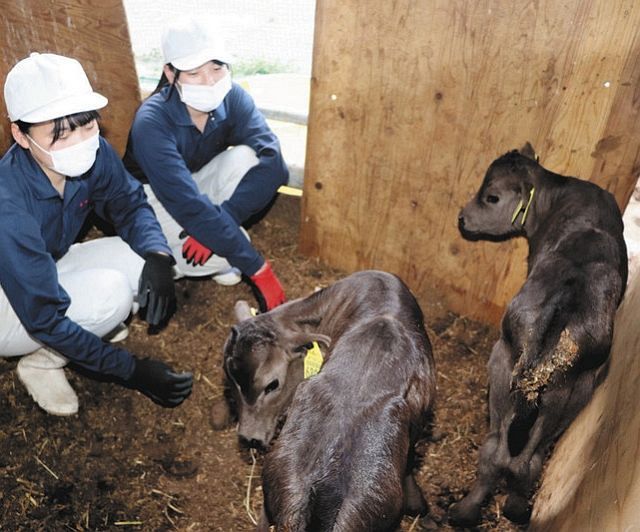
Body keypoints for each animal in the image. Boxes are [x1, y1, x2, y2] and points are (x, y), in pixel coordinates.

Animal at [452, 141, 628, 524]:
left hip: (503, 364)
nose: (462, 218)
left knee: (497, 451)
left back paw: (464, 511)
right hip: (570, 391)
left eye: (491, 196)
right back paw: (515, 508)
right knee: (527, 460)